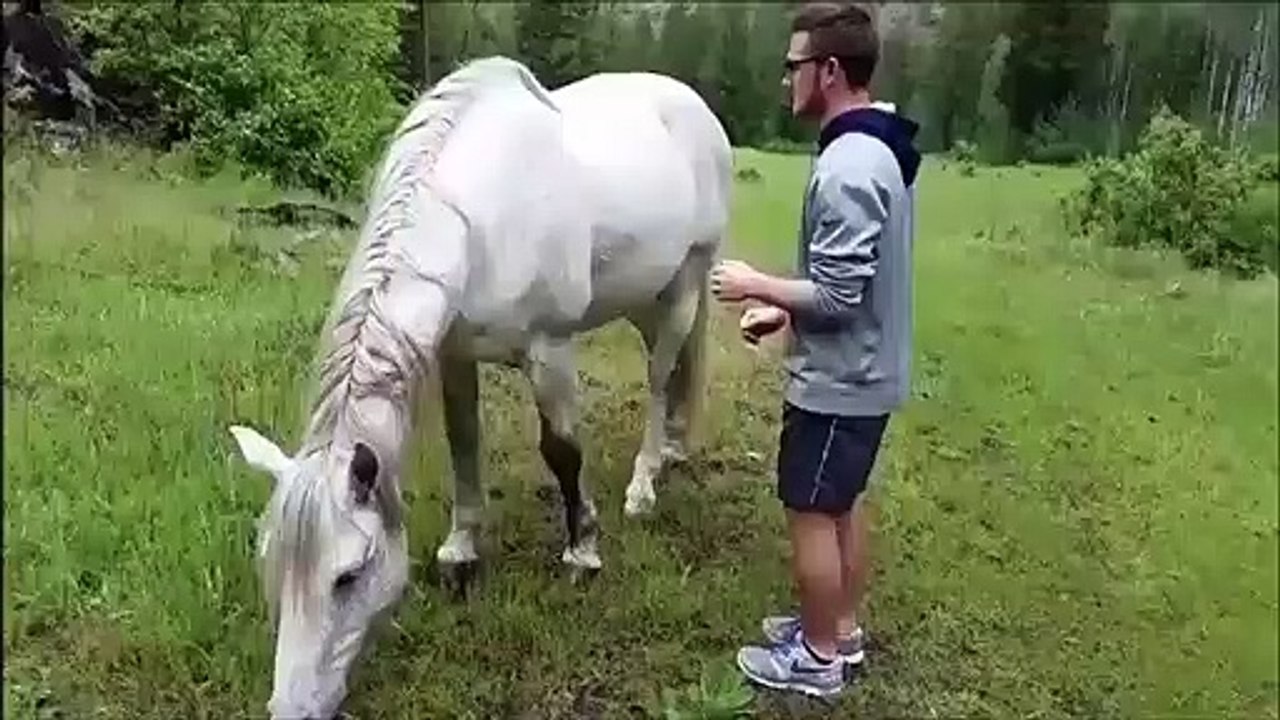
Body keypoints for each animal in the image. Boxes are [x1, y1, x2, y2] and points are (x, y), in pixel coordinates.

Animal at [226, 56, 732, 720]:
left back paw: (646, 483)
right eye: (272, 564)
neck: (480, 220)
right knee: (671, 375)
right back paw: (672, 449)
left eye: (348, 576)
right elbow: (464, 444)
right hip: (645, 295)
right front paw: (461, 553)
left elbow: (563, 453)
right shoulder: (454, 354)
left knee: (658, 379)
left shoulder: (549, 350)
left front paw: (582, 552)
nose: (291, 710)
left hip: (686, 282)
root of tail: (693, 105)